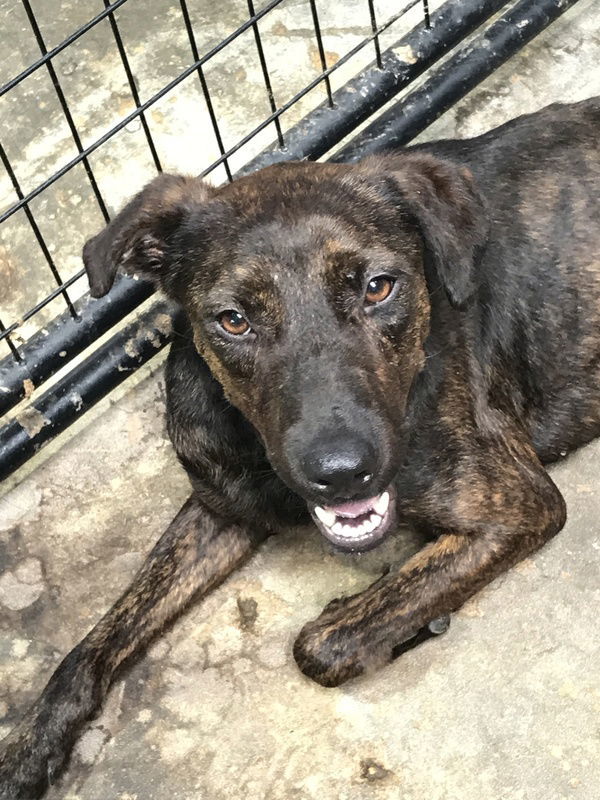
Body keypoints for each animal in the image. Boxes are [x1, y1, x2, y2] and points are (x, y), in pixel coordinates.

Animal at [1, 97, 600, 796]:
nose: (341, 473)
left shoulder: (517, 505)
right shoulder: (221, 503)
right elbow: (94, 641)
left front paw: (387, 617)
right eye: (234, 320)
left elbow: (318, 644)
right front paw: (28, 750)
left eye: (377, 286)